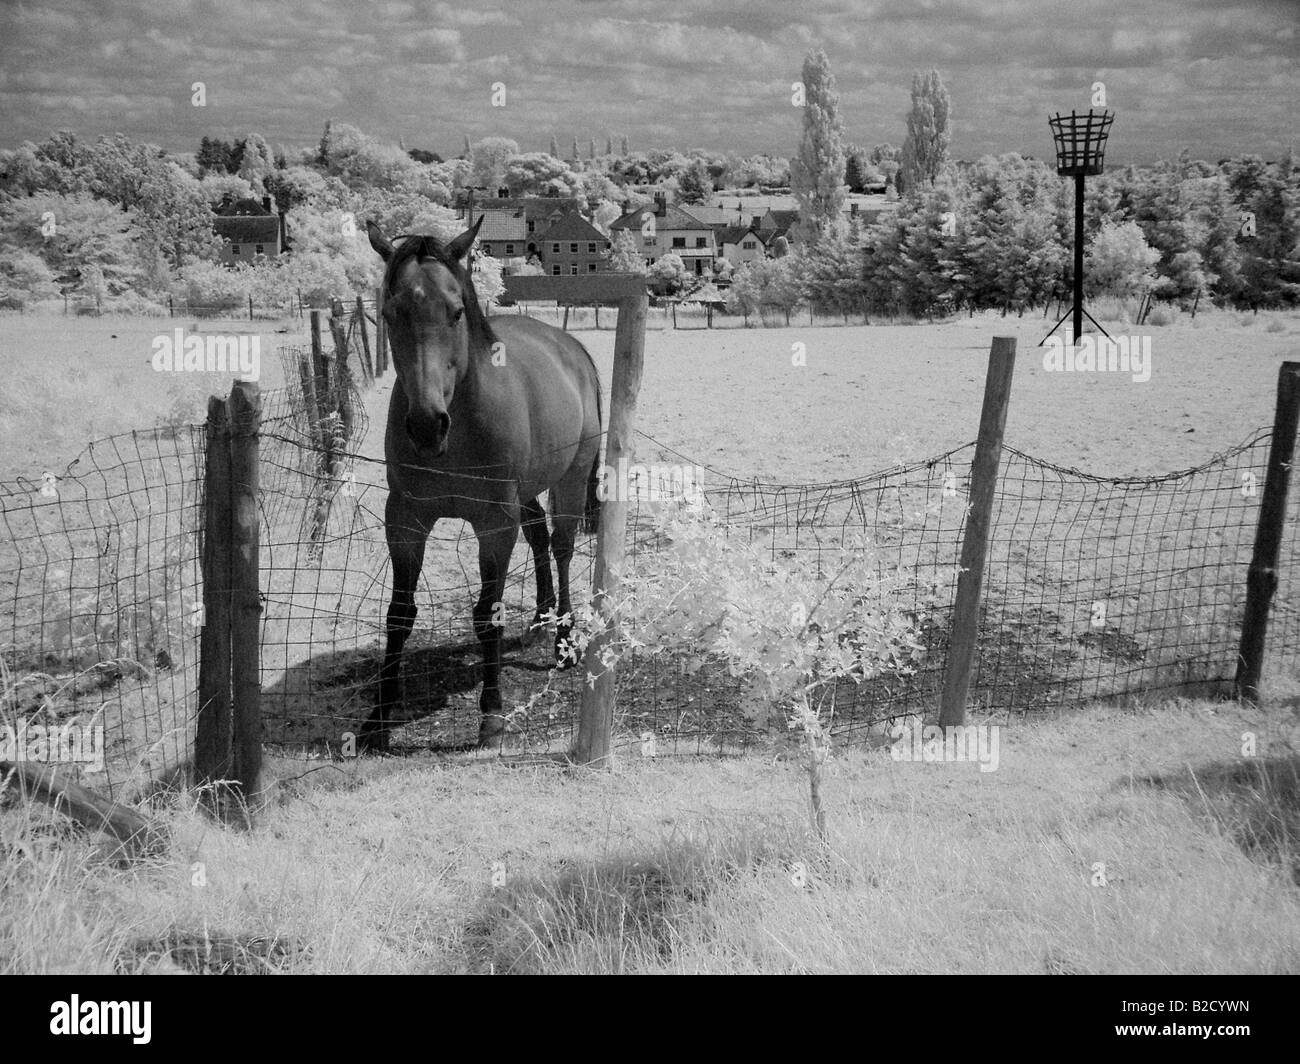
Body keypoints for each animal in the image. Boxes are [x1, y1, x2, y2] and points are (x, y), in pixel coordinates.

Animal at [361, 217, 603, 744]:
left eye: (455, 312)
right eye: (391, 312)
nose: (426, 425)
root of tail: (572, 347)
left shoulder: (494, 524)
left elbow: (487, 614)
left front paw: (491, 714)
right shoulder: (404, 519)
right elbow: (399, 614)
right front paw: (378, 717)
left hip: (570, 480)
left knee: (561, 546)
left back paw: (564, 640)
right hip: (527, 492)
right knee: (539, 540)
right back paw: (540, 618)